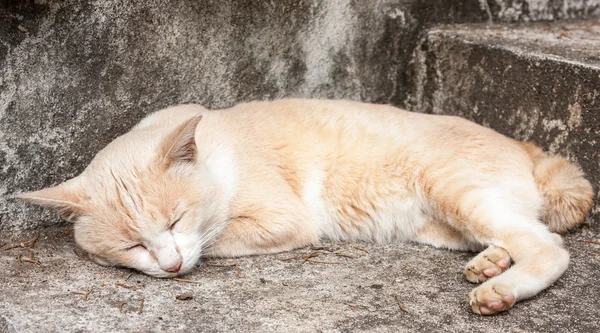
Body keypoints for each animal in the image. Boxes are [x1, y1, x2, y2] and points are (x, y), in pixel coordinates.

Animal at [16, 98, 592, 314]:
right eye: (132, 245)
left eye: (175, 220)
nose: (173, 267)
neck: (216, 153)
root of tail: (525, 146)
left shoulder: (282, 221)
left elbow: (214, 241)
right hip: (443, 223)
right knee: (514, 233)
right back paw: (490, 263)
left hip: (454, 190)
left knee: (548, 246)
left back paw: (499, 289)